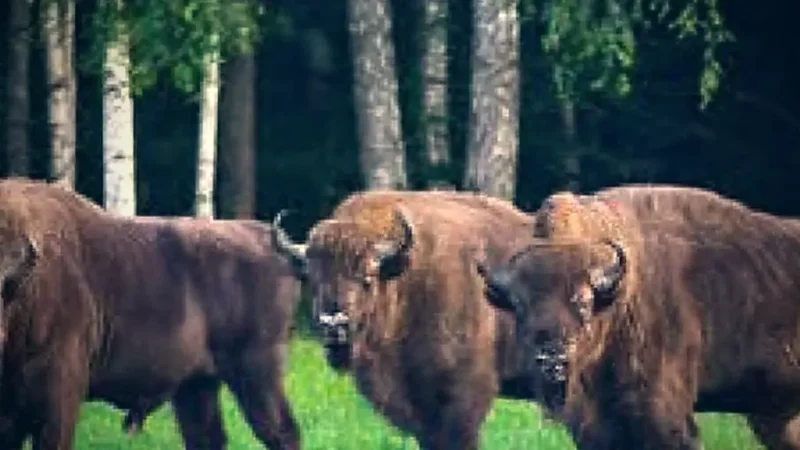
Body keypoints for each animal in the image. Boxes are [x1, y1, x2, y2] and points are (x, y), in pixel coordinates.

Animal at [0, 178, 301, 450]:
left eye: (4, 288)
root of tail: (272, 241)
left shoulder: (58, 400)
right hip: (197, 384)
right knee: (207, 437)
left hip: (258, 372)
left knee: (282, 432)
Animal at [479, 185, 800, 449]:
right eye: (518, 305)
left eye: (584, 302)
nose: (552, 360)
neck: (619, 298)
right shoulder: (595, 424)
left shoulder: (665, 418)